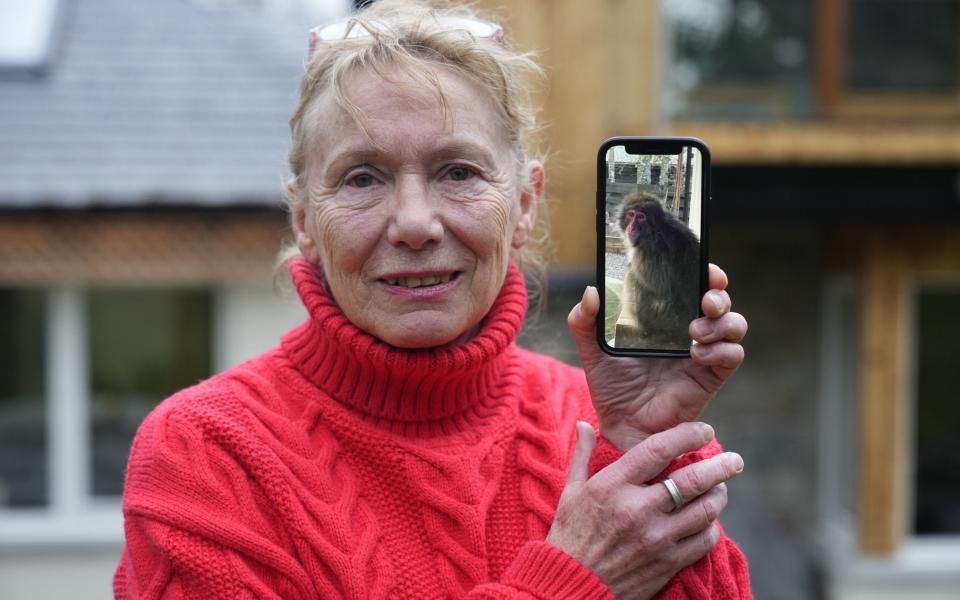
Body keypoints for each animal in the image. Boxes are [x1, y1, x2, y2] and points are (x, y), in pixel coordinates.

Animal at [620, 192, 700, 350]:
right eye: (631, 215)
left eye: (641, 217)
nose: (631, 227)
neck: (657, 229)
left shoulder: (648, 251)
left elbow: (658, 287)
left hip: (665, 318)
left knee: (632, 275)